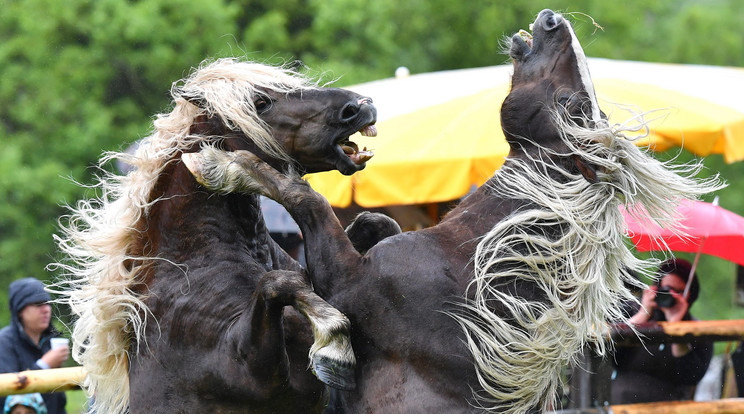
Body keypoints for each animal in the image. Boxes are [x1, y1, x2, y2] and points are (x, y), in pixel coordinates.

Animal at [51, 59, 378, 414]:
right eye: (261, 102)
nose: (359, 106)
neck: (195, 260)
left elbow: (370, 224)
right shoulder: (247, 370)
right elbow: (279, 283)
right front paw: (334, 344)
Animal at [180, 9, 720, 414]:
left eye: (569, 102)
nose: (554, 21)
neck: (465, 272)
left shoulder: (346, 281)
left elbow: (302, 197)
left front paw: (224, 164)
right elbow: (371, 220)